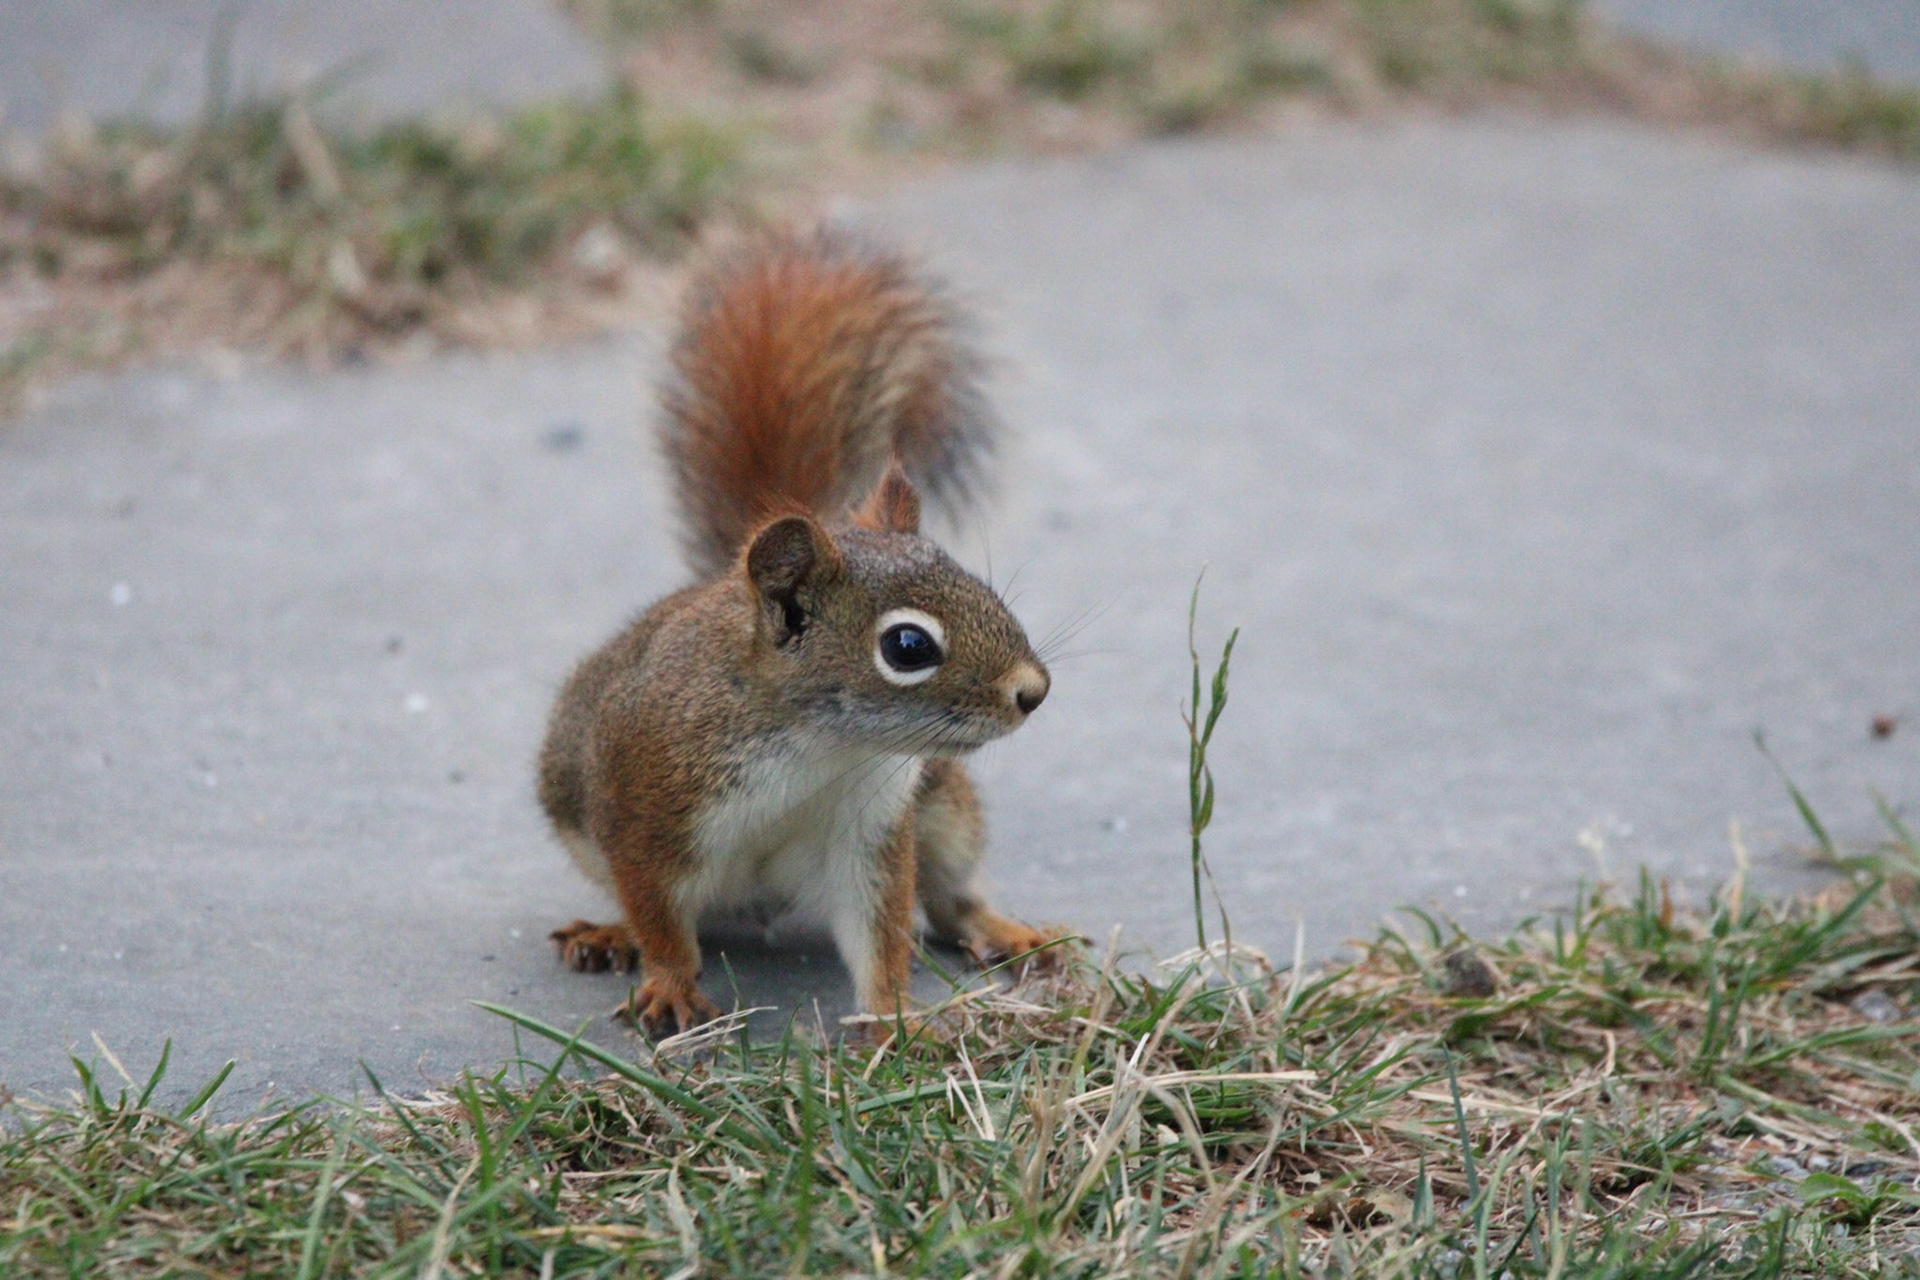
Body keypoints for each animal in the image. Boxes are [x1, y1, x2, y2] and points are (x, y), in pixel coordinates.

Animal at [537, 228, 1062, 1037]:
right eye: (908, 647)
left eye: (983, 589)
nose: (1033, 691)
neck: (818, 747)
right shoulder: (644, 804)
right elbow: (658, 913)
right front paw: (670, 985)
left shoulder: (872, 826)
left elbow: (881, 926)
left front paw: (895, 1019)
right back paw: (609, 933)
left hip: (943, 807)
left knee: (951, 898)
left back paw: (1006, 932)